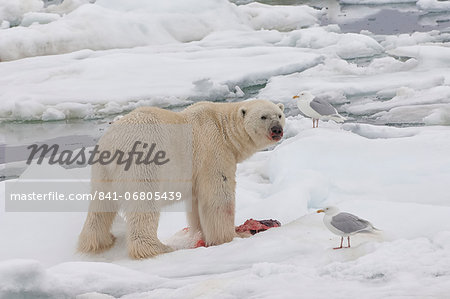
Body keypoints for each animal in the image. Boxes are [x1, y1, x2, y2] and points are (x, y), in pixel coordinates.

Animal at [77, 101, 284, 260]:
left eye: (279, 115)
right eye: (263, 117)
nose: (277, 130)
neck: (222, 126)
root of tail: (111, 144)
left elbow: (197, 202)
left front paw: (201, 235)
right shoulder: (213, 151)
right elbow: (218, 197)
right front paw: (231, 236)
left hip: (102, 171)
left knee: (100, 205)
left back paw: (99, 241)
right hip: (142, 163)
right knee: (144, 204)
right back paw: (157, 247)